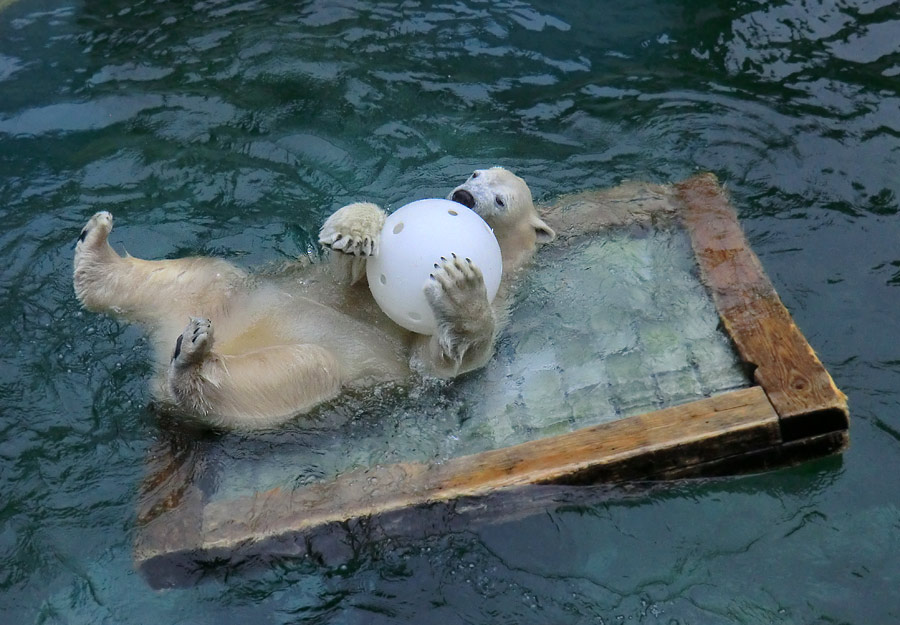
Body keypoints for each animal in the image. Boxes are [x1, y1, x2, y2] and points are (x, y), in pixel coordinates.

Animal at [74, 166, 556, 428]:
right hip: (225, 291)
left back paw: (193, 358)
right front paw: (354, 230)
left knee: (301, 368)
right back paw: (95, 248)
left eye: (499, 199)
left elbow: (438, 360)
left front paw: (460, 286)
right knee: (197, 272)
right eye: (474, 175)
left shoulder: (504, 300)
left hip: (294, 379)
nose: (462, 196)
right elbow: (346, 277)